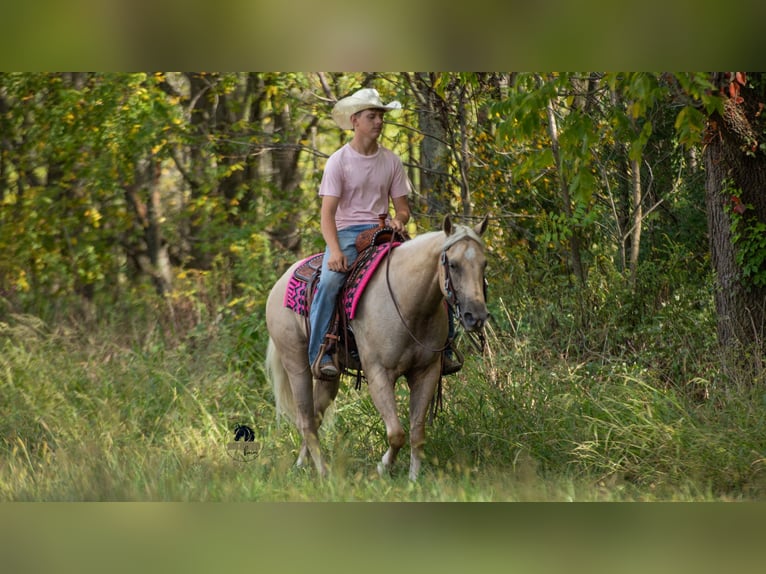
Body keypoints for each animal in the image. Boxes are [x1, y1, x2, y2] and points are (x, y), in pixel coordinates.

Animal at [264, 214, 489, 480]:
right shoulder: (379, 373)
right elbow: (396, 434)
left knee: (315, 417)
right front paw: (383, 467)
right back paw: (324, 473)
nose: (476, 316)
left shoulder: (427, 372)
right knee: (306, 421)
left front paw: (414, 479)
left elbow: (417, 432)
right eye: (453, 264)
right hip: (296, 364)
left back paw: (301, 465)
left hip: (329, 377)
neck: (407, 301)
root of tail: (280, 282)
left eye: (484, 264)